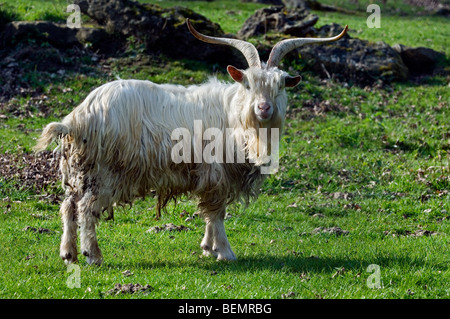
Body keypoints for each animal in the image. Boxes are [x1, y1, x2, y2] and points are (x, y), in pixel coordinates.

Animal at [35, 18, 346, 266]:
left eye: (280, 85)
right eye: (248, 84)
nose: (263, 108)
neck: (235, 115)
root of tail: (79, 116)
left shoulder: (211, 176)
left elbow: (212, 213)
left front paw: (208, 248)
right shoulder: (216, 172)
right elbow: (216, 213)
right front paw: (225, 252)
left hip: (79, 169)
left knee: (69, 206)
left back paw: (68, 254)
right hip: (105, 170)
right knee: (86, 208)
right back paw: (93, 255)